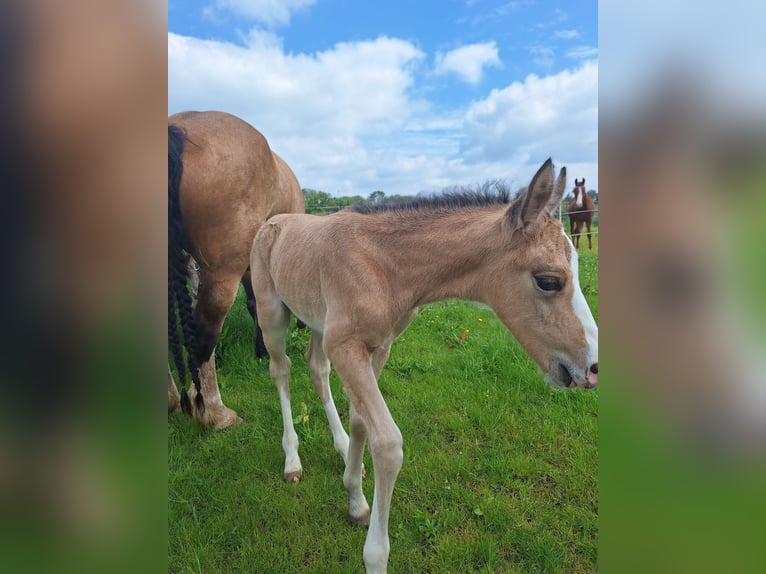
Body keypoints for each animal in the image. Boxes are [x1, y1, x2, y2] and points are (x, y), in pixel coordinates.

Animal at [252, 159, 600, 574]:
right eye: (548, 281)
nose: (592, 368)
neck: (385, 265)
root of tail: (274, 220)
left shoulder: (378, 346)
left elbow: (360, 421)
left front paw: (355, 499)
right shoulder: (347, 346)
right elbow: (388, 444)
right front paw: (375, 552)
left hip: (318, 324)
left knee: (317, 370)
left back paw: (339, 444)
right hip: (272, 315)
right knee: (282, 371)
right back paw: (292, 459)